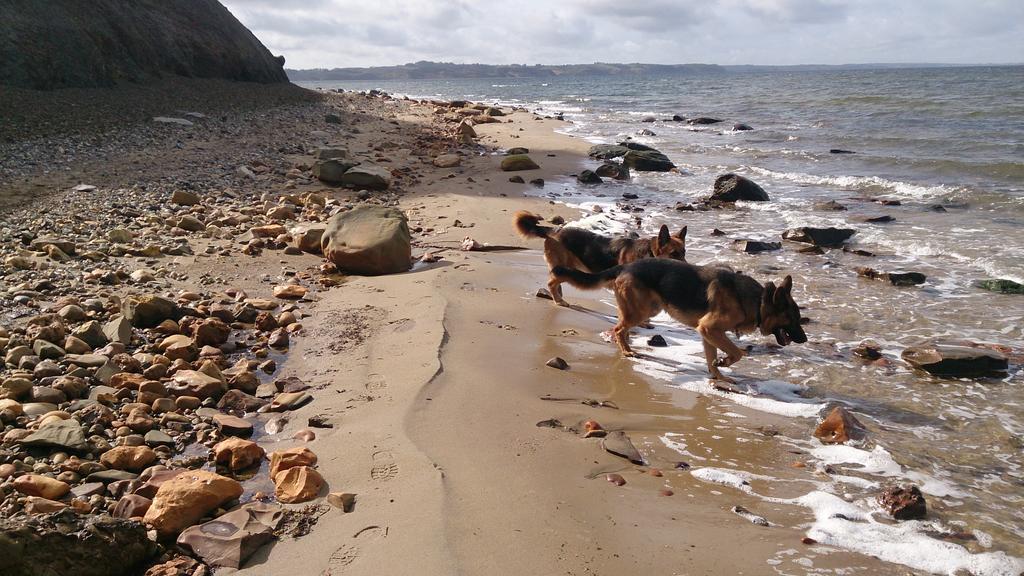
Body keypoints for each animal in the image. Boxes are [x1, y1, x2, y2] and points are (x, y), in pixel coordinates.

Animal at [512, 211, 688, 305]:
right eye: (674, 254)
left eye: (684, 252)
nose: (688, 268)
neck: (649, 253)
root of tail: (553, 230)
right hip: (563, 265)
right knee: (552, 283)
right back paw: (559, 300)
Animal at [552, 258, 806, 379]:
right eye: (793, 318)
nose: (804, 340)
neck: (758, 301)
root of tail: (625, 265)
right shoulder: (710, 329)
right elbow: (736, 353)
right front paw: (724, 363)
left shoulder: (708, 334)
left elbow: (711, 358)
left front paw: (718, 376)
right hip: (642, 311)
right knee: (618, 329)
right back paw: (626, 352)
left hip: (647, 310)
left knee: (621, 328)